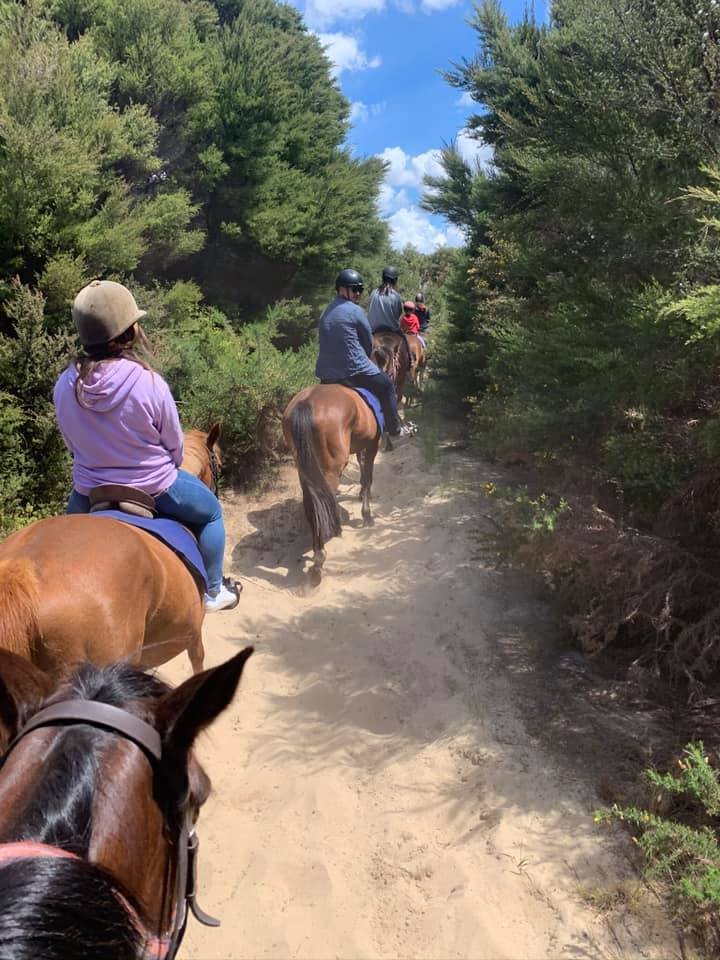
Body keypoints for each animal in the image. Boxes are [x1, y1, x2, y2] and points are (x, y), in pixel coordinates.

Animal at [282, 385, 381, 583]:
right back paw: (319, 562)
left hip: (305, 469)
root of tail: (306, 402)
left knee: (311, 505)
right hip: (330, 470)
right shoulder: (372, 445)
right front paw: (367, 515)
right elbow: (367, 477)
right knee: (320, 506)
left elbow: (362, 468)